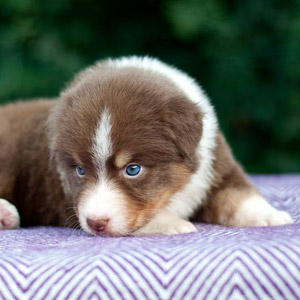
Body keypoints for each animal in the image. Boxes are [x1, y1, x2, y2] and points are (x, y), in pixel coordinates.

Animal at [0, 55, 292, 234]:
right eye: (80, 170)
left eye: (133, 169)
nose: (96, 223)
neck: (176, 190)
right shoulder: (69, 200)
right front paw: (174, 224)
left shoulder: (216, 168)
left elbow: (239, 195)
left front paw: (271, 215)